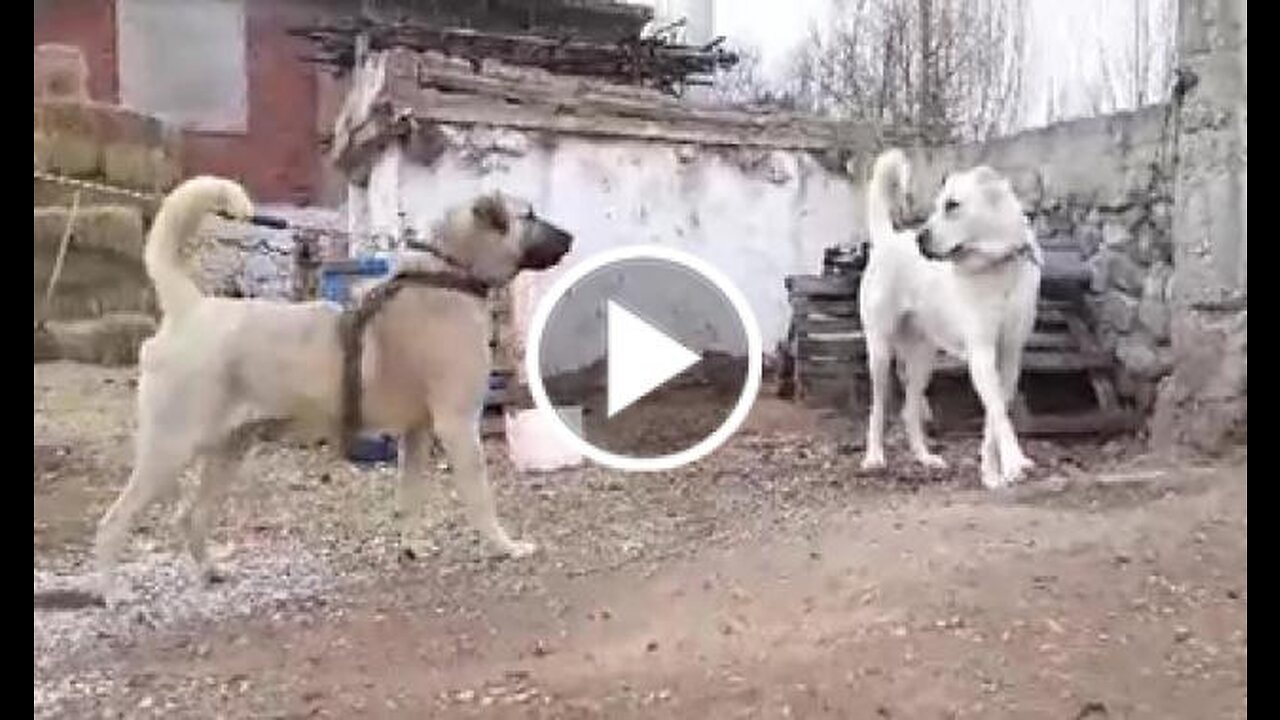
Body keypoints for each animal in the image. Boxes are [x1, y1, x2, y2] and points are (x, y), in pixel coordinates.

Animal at [860, 149, 1039, 486]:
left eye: (952, 205)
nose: (920, 239)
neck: (997, 267)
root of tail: (888, 238)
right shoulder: (981, 353)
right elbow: (998, 413)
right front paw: (1014, 463)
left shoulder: (1009, 357)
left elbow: (995, 415)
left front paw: (991, 475)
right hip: (880, 351)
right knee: (877, 407)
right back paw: (873, 458)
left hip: (923, 359)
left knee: (909, 410)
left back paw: (925, 458)